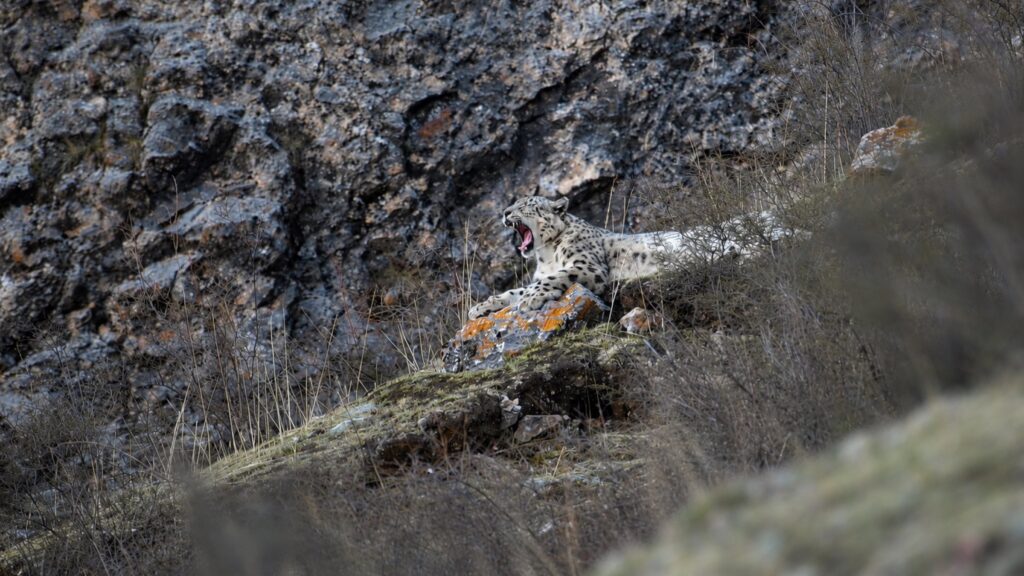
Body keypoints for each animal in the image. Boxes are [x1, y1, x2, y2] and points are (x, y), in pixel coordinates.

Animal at [468, 195, 684, 319]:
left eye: (525, 205)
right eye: (513, 204)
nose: (505, 212)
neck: (546, 254)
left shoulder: (587, 265)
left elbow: (552, 278)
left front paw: (530, 299)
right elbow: (516, 291)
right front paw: (481, 307)